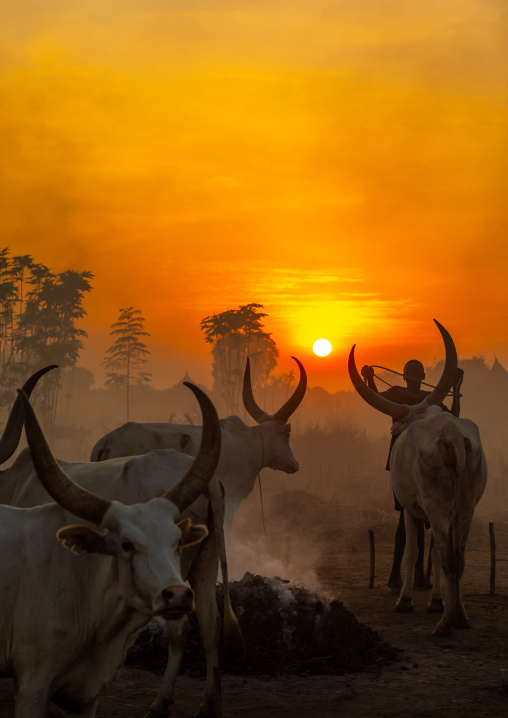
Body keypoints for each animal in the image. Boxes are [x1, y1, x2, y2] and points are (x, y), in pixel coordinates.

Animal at [349, 320, 487, 636]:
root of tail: (452, 437)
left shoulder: (412, 509)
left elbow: (413, 551)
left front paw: (407, 601)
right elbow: (433, 554)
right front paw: (436, 601)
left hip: (436, 507)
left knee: (448, 558)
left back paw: (445, 623)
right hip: (465, 507)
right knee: (457, 558)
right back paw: (460, 615)